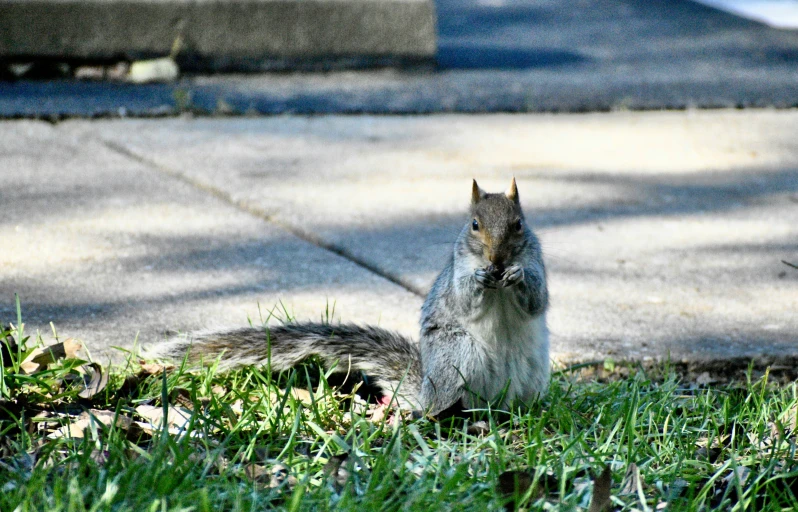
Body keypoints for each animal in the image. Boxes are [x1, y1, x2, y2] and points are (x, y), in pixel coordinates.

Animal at [150, 177, 552, 416]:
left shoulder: (536, 264)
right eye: (474, 225)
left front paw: (517, 276)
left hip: (534, 373)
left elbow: (537, 300)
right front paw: (481, 279)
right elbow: (465, 300)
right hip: (459, 359)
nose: (497, 261)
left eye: (519, 224)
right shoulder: (456, 278)